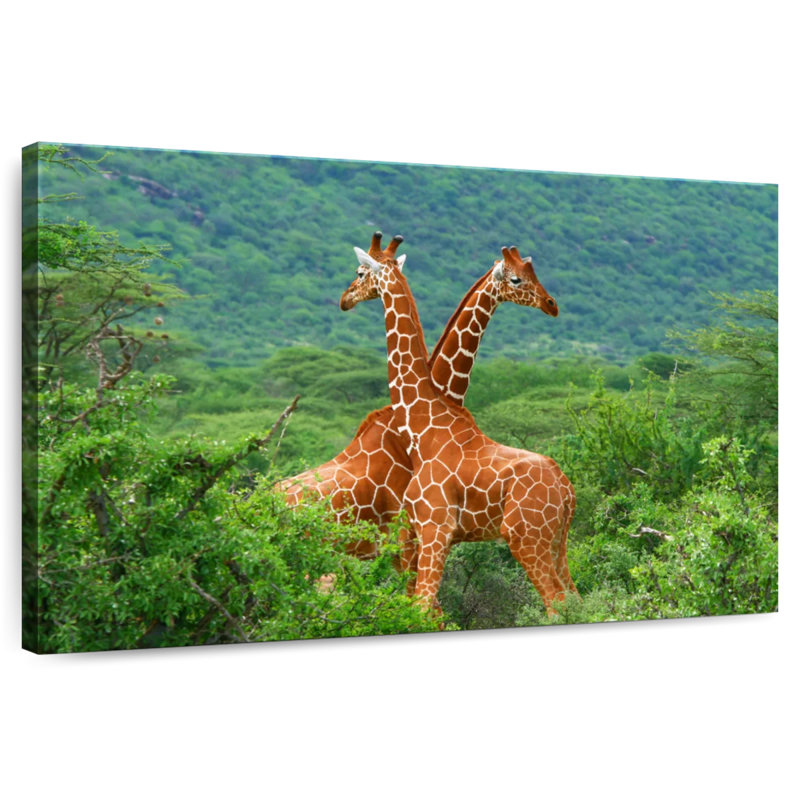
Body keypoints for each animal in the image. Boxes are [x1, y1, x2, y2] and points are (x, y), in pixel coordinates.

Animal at [342, 241, 576, 612]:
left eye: (360, 272)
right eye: (518, 278)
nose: (345, 298)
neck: (423, 427)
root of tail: (567, 491)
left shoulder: (433, 527)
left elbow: (423, 608)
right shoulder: (422, 533)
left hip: (526, 536)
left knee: (557, 603)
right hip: (556, 542)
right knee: (577, 600)